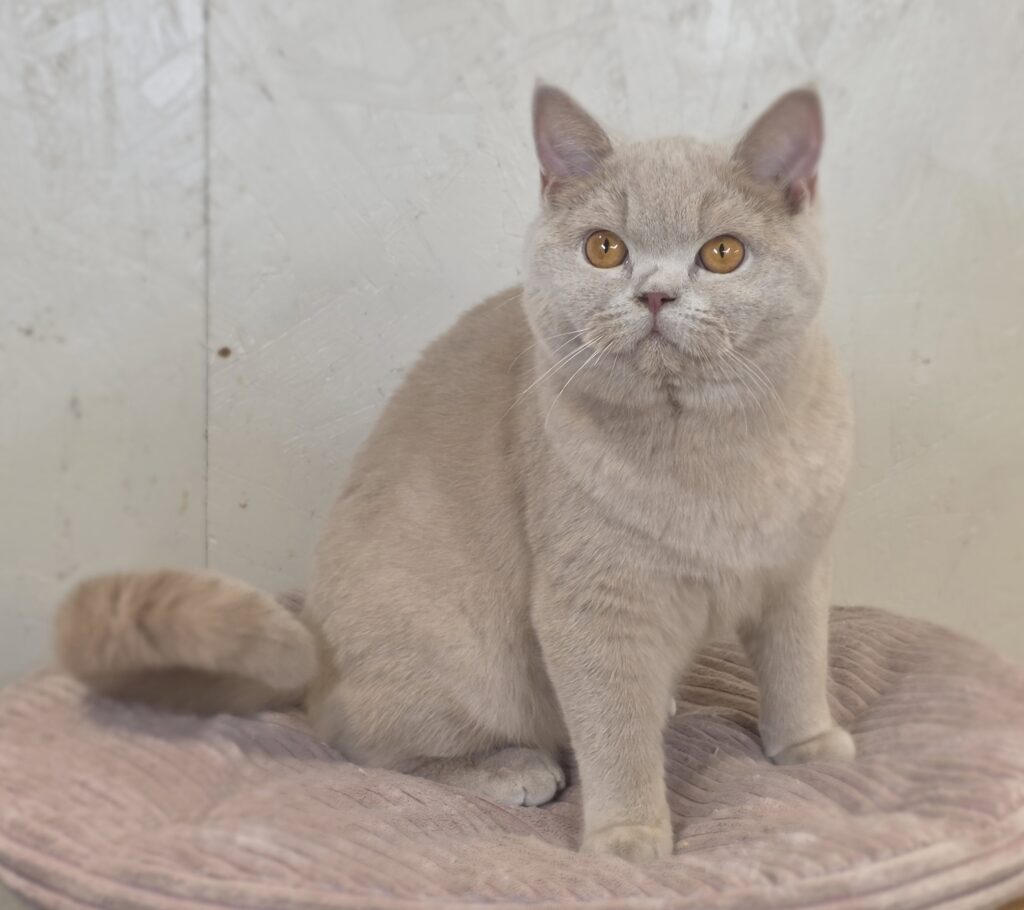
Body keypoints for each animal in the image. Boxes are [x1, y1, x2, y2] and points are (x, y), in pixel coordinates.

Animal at [55, 82, 855, 862]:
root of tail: (314, 650)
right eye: (605, 248)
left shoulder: (798, 569)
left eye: (722, 253)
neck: (714, 452)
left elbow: (797, 664)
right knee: (360, 740)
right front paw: (627, 838)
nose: (654, 293)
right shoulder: (593, 605)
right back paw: (512, 767)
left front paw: (808, 744)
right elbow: (614, 731)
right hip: (460, 653)